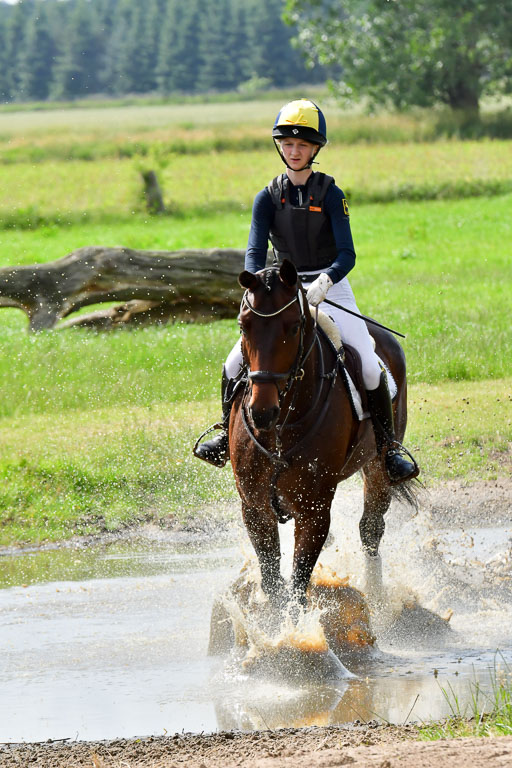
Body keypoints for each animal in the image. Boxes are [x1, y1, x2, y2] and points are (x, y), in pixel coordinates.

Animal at [229, 258, 418, 611]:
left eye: (293, 326)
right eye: (244, 326)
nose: (261, 412)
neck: (281, 426)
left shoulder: (314, 510)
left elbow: (297, 587)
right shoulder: (254, 506)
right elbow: (273, 582)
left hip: (378, 466)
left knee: (371, 530)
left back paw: (377, 599)